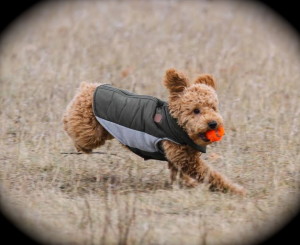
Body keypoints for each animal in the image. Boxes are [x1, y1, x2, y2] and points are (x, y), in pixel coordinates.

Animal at [63, 68, 246, 194]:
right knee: (72, 128)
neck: (175, 123)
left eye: (213, 108)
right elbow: (213, 176)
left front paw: (187, 184)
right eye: (196, 110)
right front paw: (236, 190)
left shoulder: (179, 158)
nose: (213, 123)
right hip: (90, 131)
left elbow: (179, 173)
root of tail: (88, 87)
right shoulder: (188, 160)